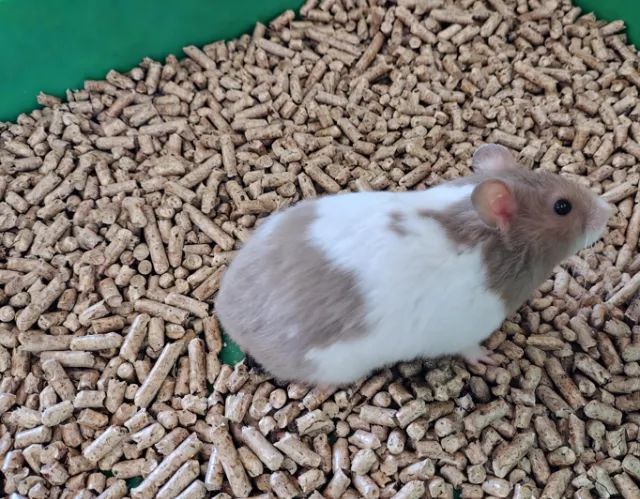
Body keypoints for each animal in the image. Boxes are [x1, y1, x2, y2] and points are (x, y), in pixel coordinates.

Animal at [216, 144, 612, 385]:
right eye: (562, 207)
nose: (609, 211)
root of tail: (225, 314)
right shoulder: (465, 330)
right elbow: (471, 350)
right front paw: (492, 359)